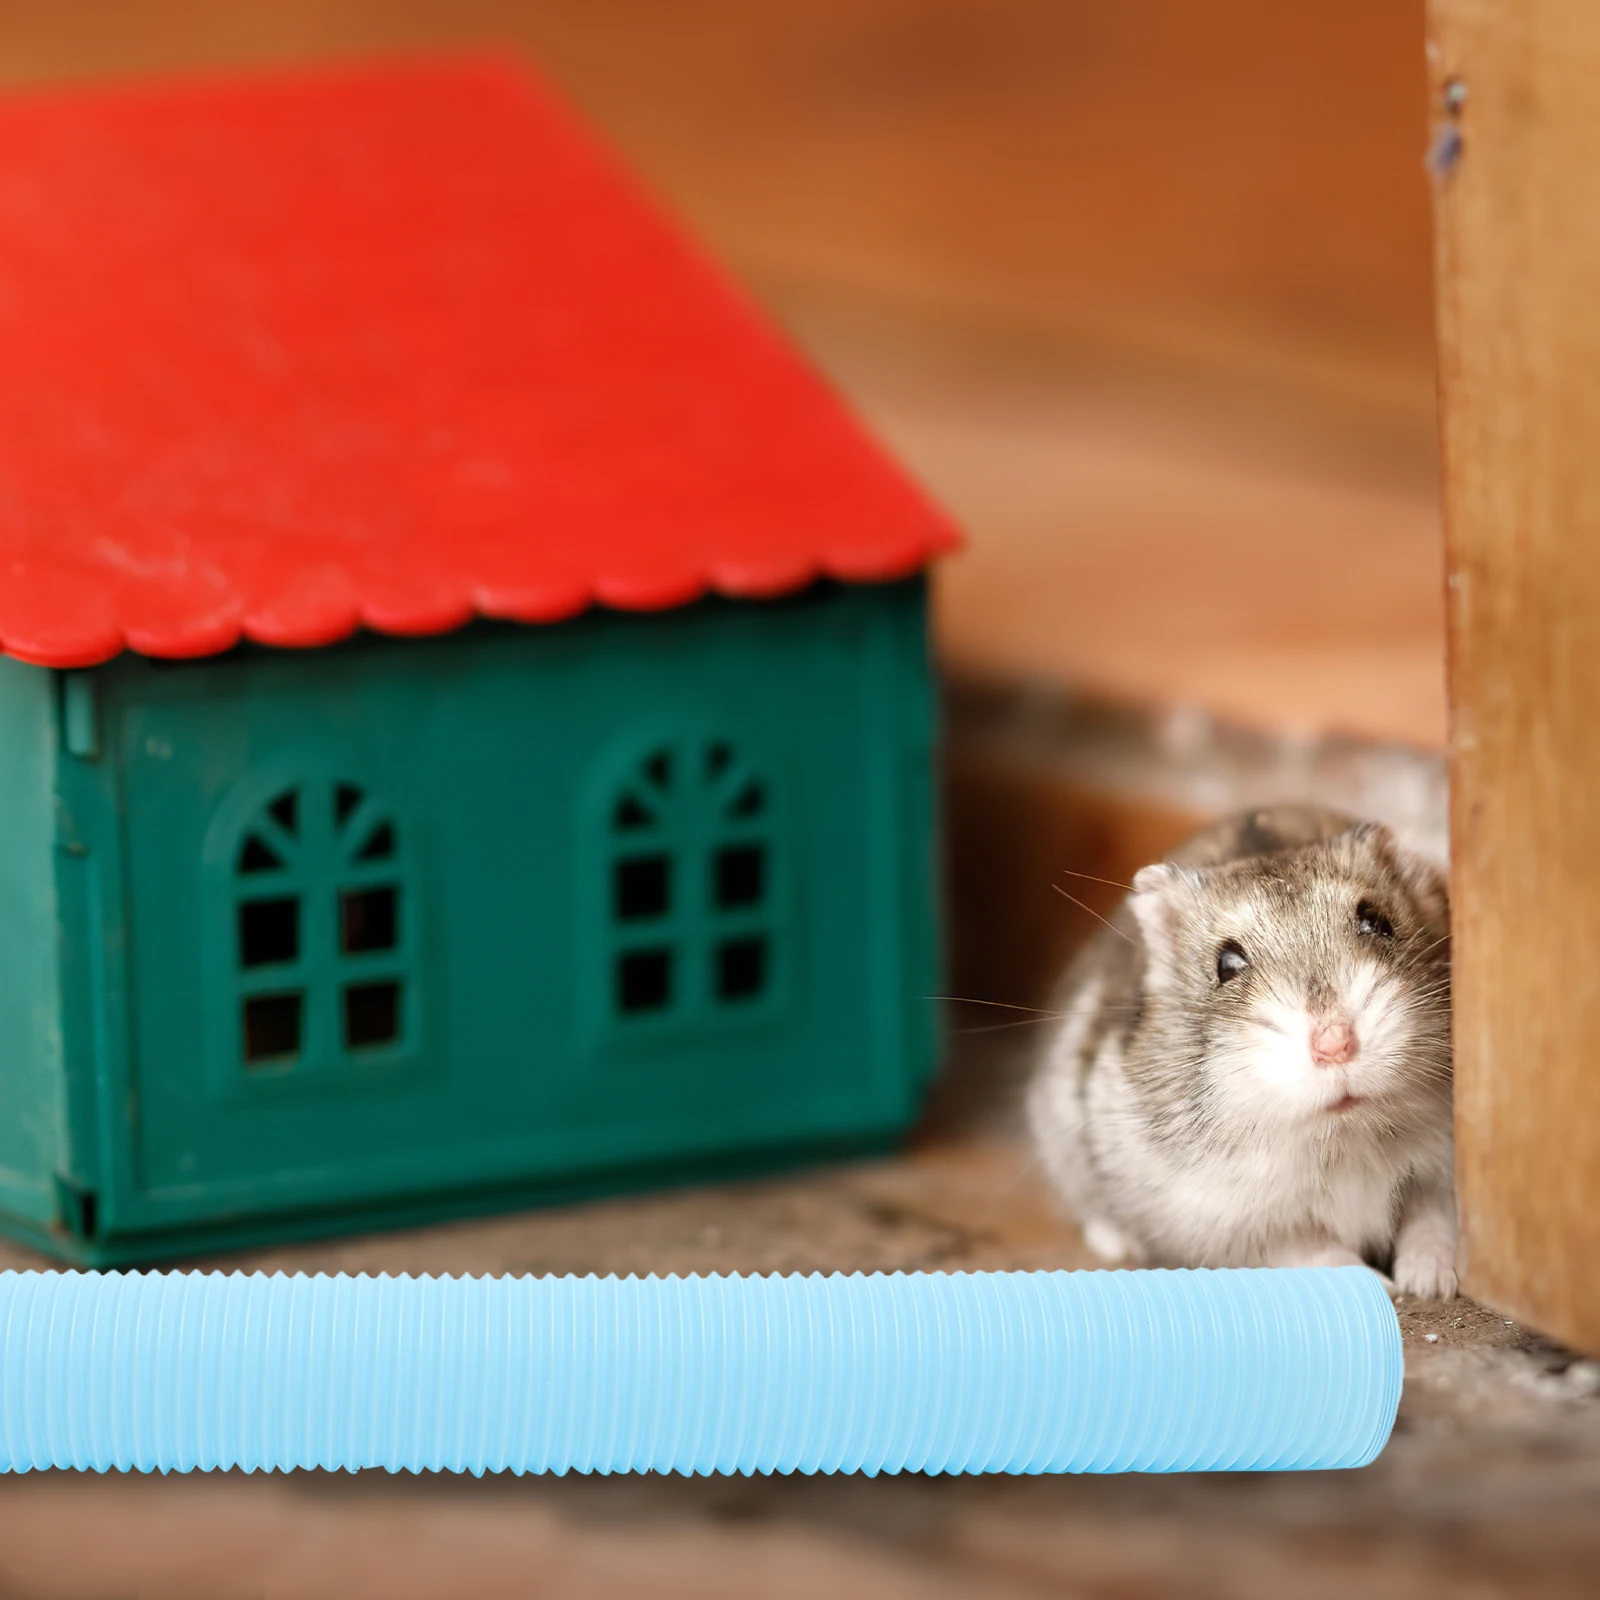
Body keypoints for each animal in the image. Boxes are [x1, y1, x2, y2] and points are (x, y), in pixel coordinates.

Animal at [1025, 804, 1457, 1297]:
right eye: (1227, 964)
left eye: (1378, 922)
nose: (1335, 1044)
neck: (1343, 1136)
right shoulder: (1235, 1223)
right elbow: (1313, 1248)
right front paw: (1383, 1288)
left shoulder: (1440, 1175)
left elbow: (1432, 1221)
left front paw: (1429, 1285)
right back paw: (1119, 1245)